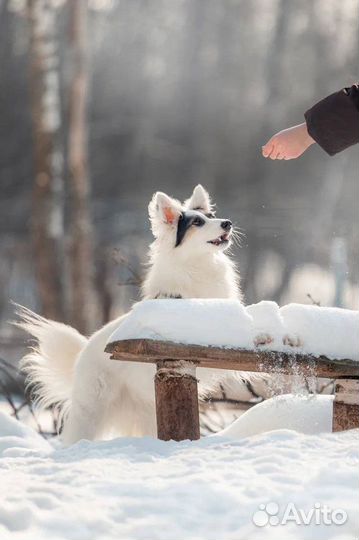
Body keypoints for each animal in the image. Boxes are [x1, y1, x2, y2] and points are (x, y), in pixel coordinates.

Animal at [16, 184, 242, 446]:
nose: (227, 223)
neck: (196, 266)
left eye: (212, 216)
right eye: (197, 222)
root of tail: (82, 354)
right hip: (92, 410)